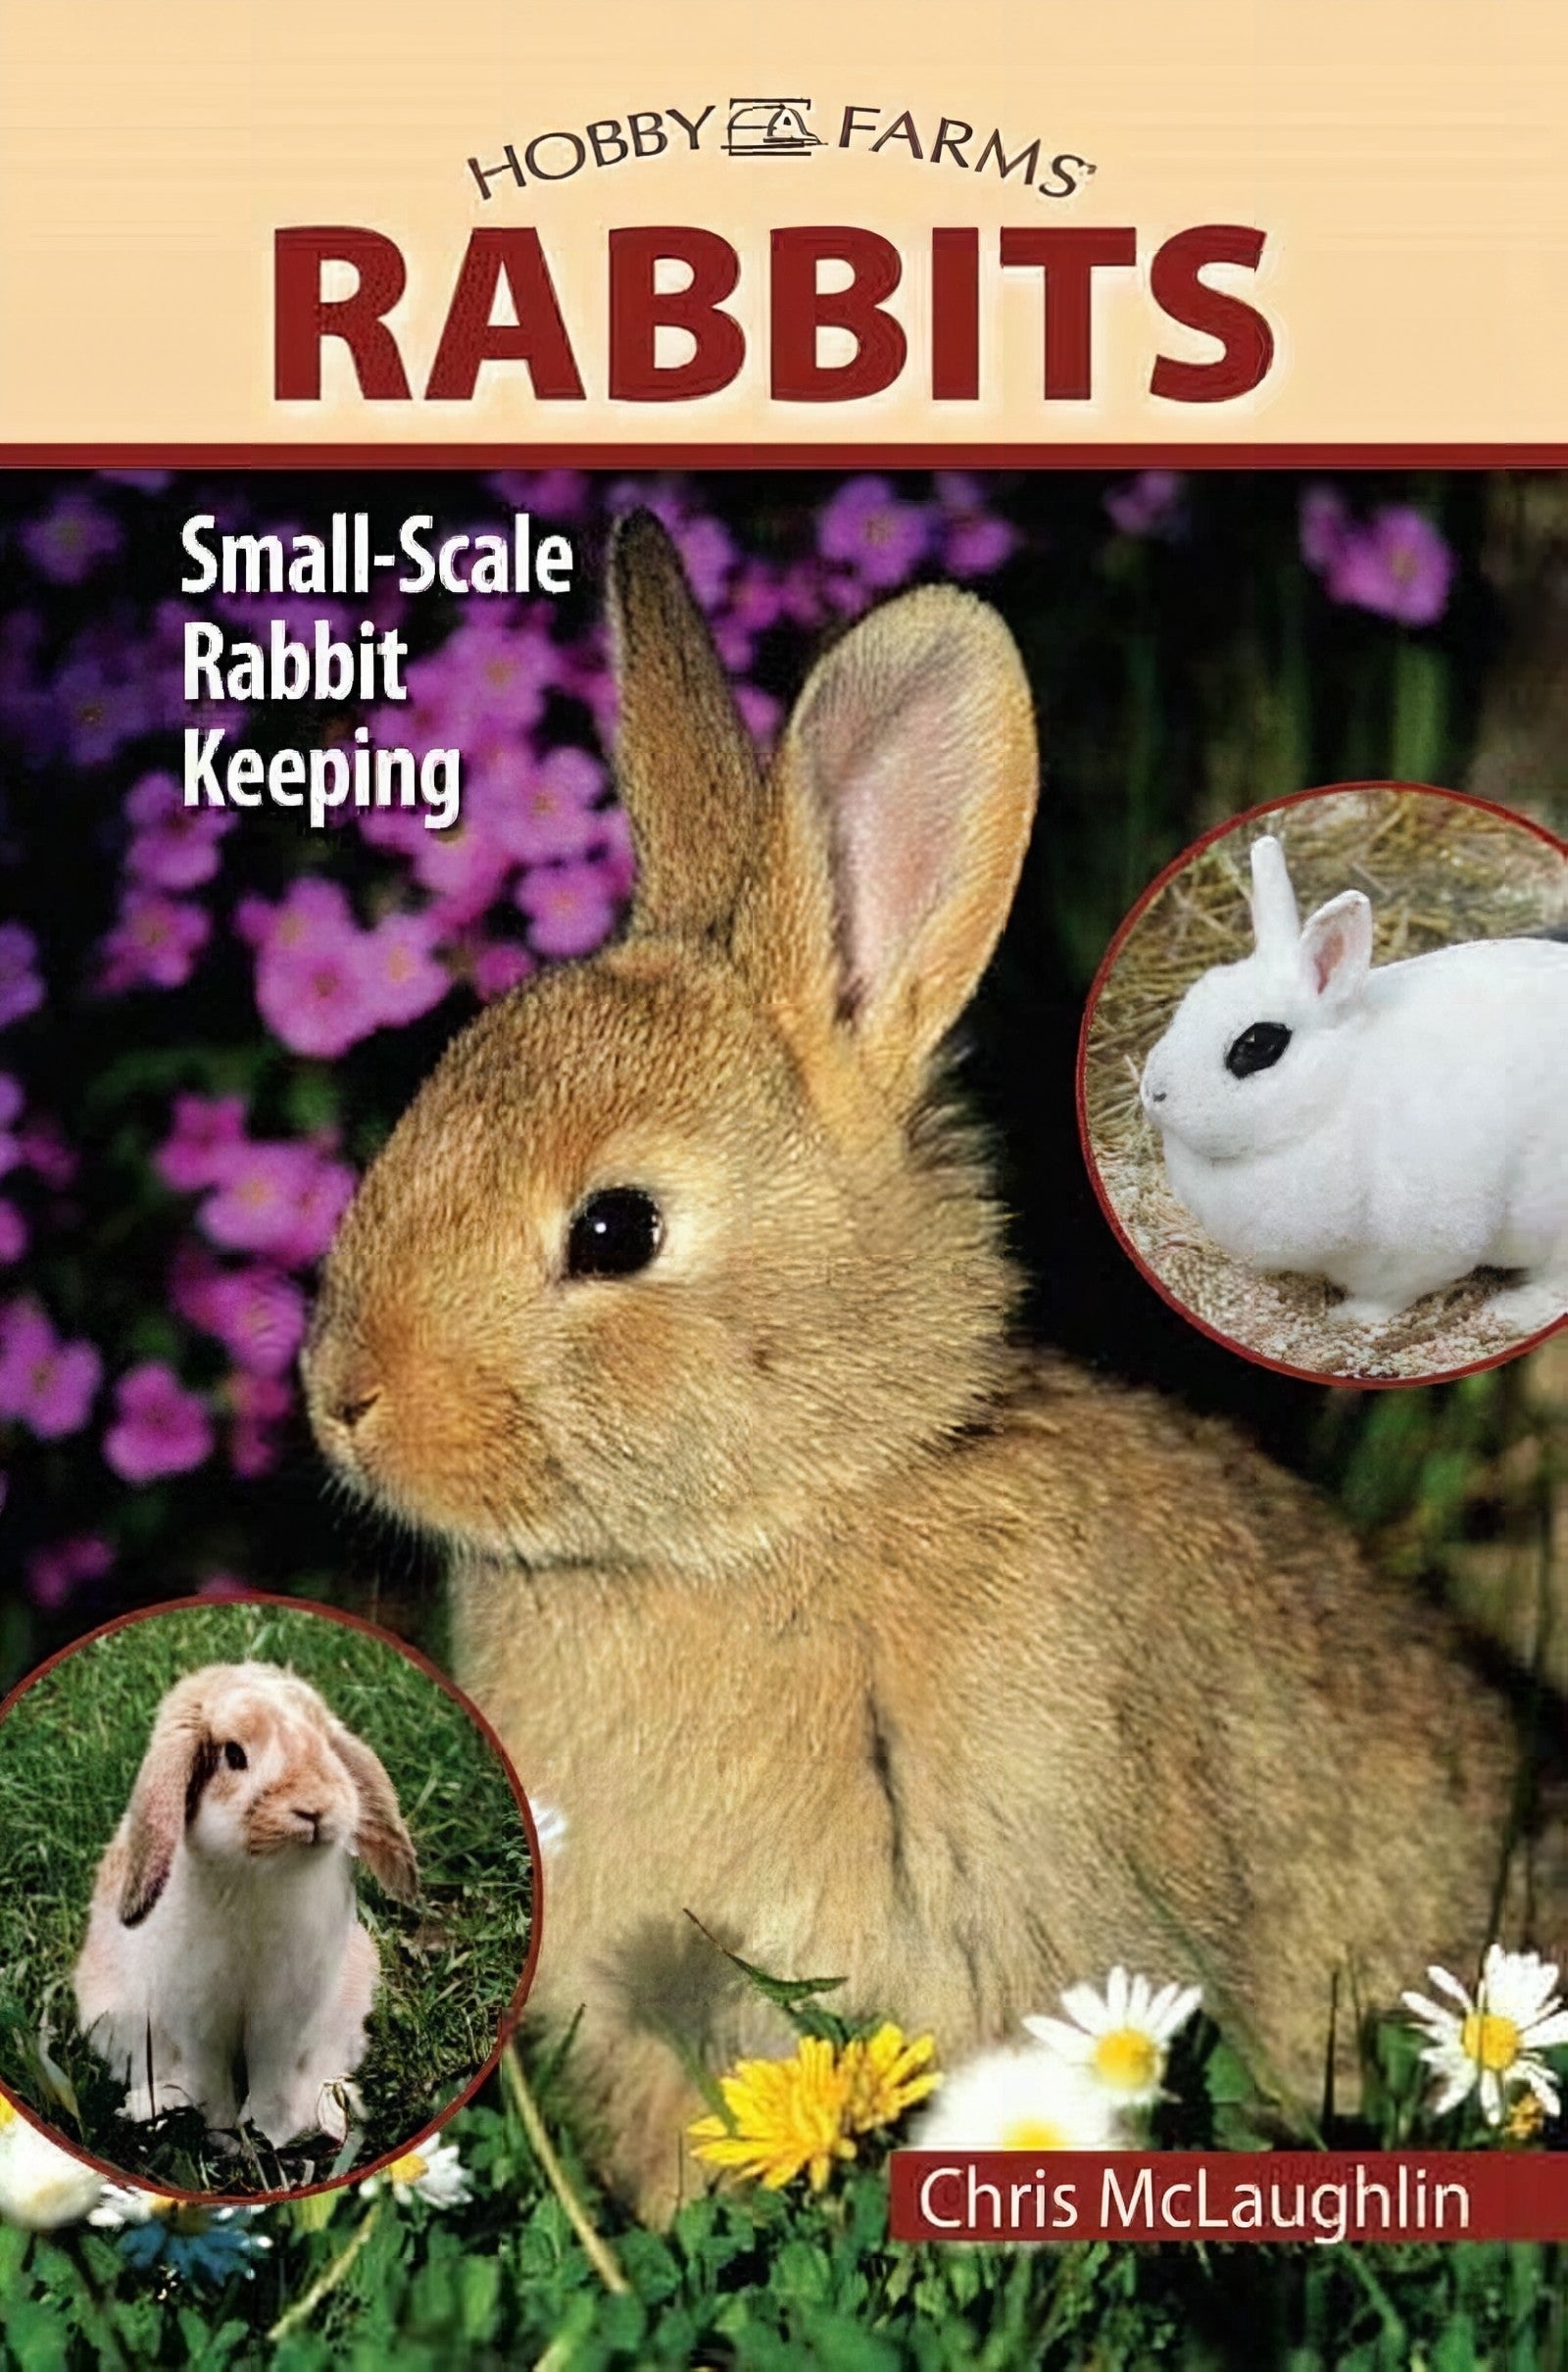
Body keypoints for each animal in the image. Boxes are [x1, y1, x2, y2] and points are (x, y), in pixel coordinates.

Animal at [74, 1661, 418, 2150]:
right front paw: (227, 2142)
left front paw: (271, 2136)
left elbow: (272, 2078)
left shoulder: (284, 2019)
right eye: (234, 1756)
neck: (259, 1877)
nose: (314, 1808)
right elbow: (212, 2083)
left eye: (325, 1745)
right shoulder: (197, 2019)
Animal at [1138, 832, 1568, 1331]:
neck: (1334, 1096)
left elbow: (1392, 1293)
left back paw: (1513, 1311)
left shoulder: (1425, 1243)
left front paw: (1350, 1317)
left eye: (1258, 1044)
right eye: (1195, 994)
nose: (1155, 1093)